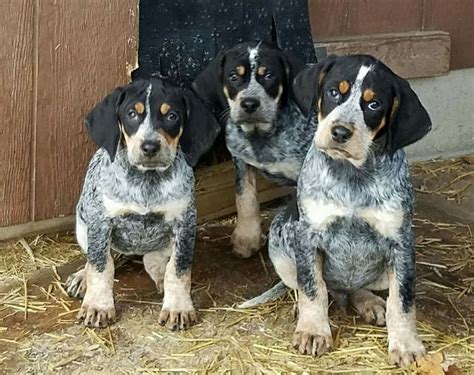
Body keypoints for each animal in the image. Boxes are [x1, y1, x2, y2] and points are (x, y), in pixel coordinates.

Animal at [65, 78, 220, 328]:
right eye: (131, 114)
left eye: (172, 116)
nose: (149, 147)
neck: (147, 181)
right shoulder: (100, 221)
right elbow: (100, 266)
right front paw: (98, 305)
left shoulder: (185, 222)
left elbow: (178, 269)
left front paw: (178, 306)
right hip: (82, 225)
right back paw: (82, 278)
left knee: (155, 261)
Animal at [193, 41, 314, 258]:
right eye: (233, 77)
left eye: (269, 76)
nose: (249, 103)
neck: (262, 136)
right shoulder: (240, 159)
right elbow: (245, 197)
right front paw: (247, 237)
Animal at [241, 54, 434, 368]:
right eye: (333, 92)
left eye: (373, 104)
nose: (340, 132)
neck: (352, 177)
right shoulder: (308, 236)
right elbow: (312, 288)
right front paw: (313, 331)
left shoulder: (401, 243)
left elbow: (402, 301)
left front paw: (406, 344)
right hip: (281, 242)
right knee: (309, 285)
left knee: (356, 289)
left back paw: (369, 302)